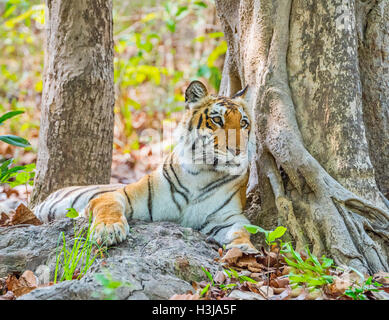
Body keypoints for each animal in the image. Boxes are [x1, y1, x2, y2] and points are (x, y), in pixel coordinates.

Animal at [33, 80, 256, 252]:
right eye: (217, 120)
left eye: (244, 123)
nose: (238, 150)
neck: (204, 174)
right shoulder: (123, 195)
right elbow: (108, 205)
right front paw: (108, 230)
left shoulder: (227, 217)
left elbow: (242, 229)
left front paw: (244, 248)